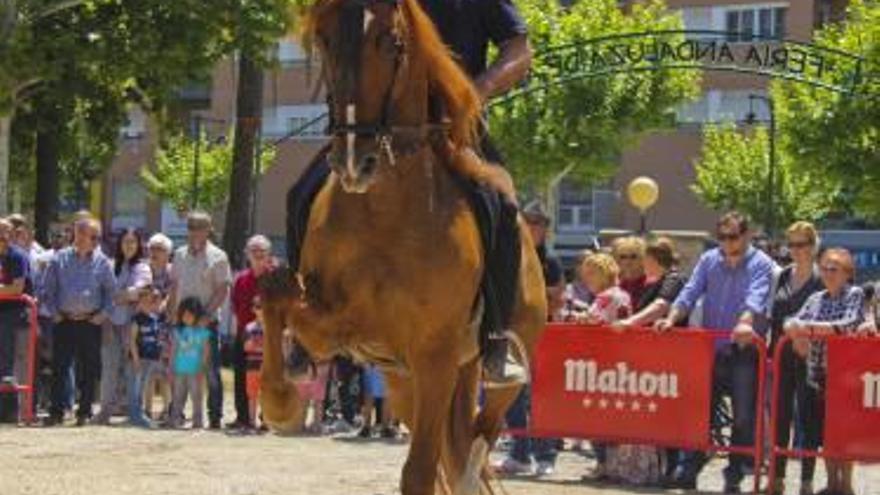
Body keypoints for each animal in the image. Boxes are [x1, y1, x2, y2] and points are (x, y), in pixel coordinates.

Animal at [258, 0, 548, 494]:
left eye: (391, 42)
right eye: (325, 39)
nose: (353, 160)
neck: (384, 212)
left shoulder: (435, 356)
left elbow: (419, 473)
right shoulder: (345, 328)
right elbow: (276, 297)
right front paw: (280, 400)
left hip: (496, 368)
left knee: (478, 437)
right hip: (403, 380)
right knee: (457, 446)